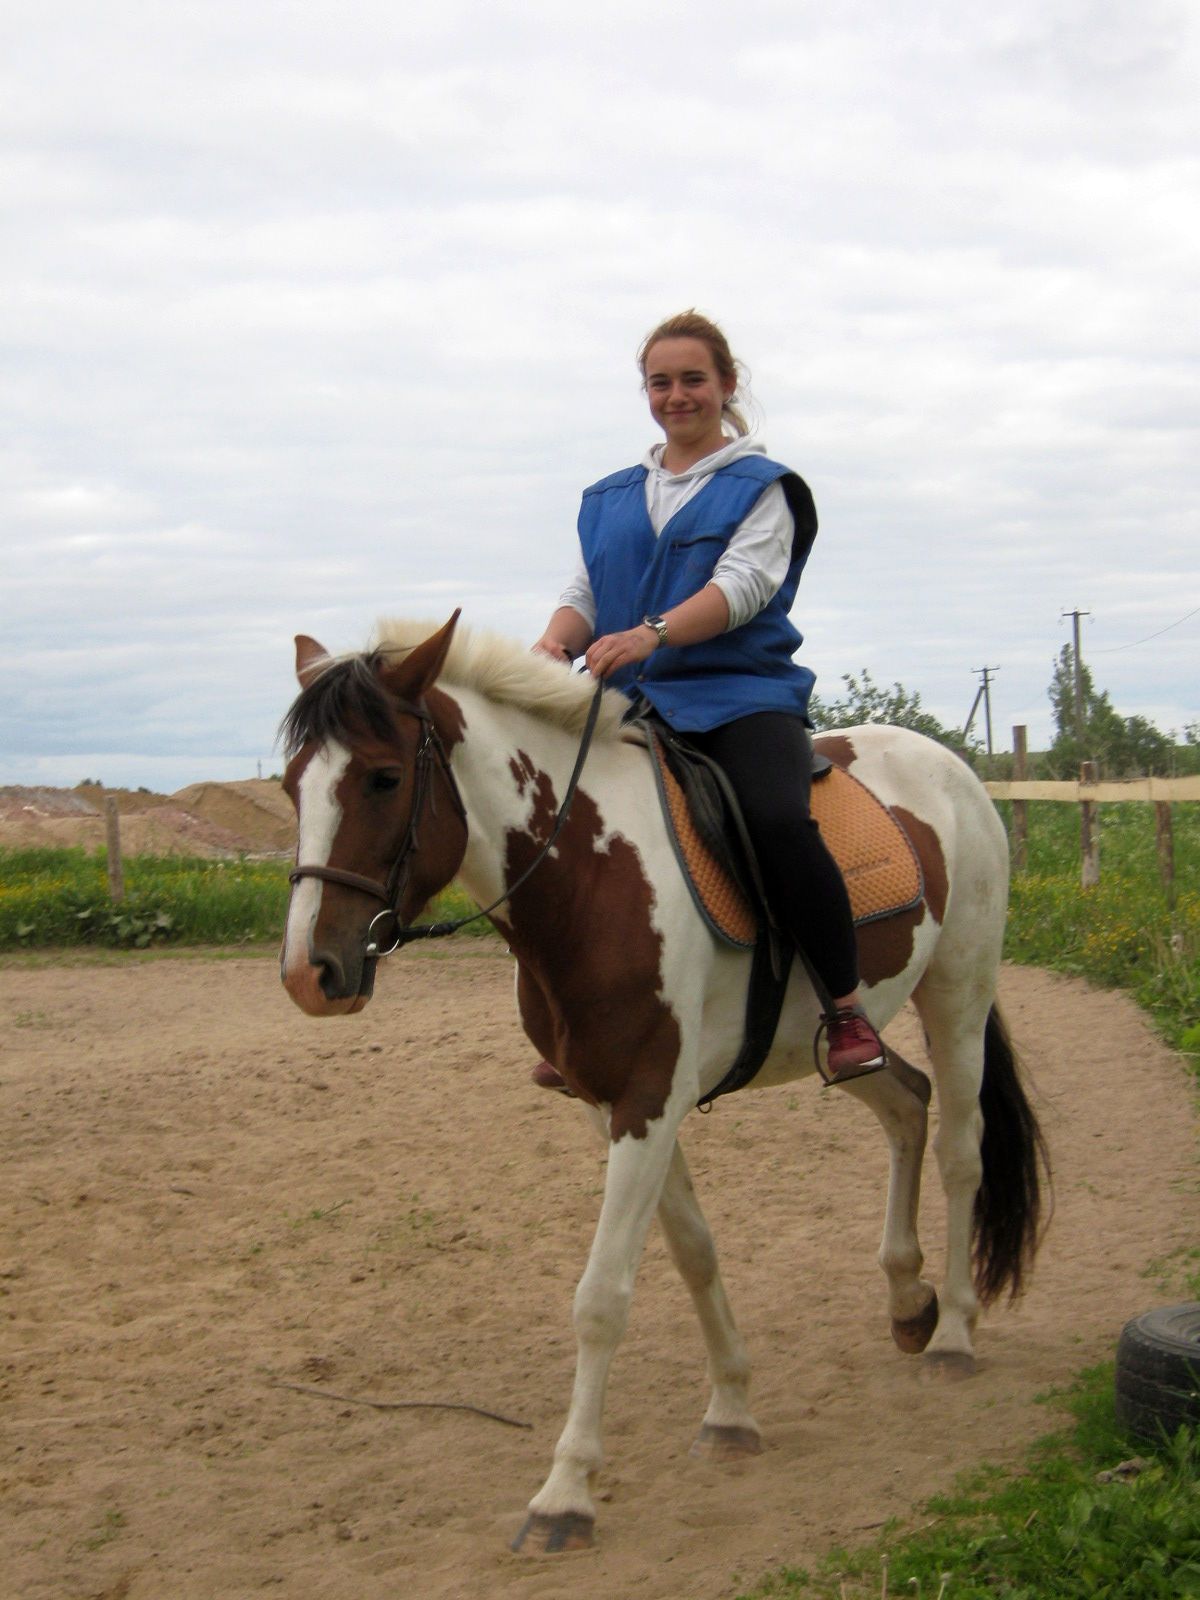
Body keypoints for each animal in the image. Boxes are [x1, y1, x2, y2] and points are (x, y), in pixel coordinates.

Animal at [278, 611, 1047, 1555]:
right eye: (292, 788)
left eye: (384, 778)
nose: (310, 973)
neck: (592, 869)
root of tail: (949, 765)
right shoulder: (618, 1104)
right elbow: (692, 1253)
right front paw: (732, 1412)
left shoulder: (648, 1102)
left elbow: (602, 1296)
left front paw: (565, 1493)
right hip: (839, 1041)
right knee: (905, 1101)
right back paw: (910, 1301)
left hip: (958, 996)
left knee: (960, 1150)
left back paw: (956, 1337)